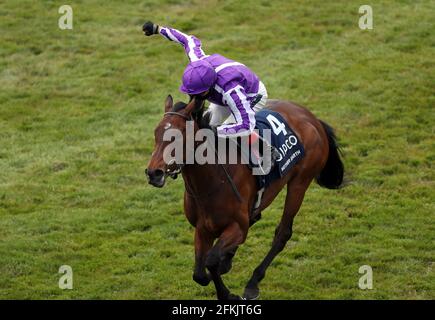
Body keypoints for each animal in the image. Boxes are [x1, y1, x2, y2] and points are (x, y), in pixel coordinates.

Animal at [146, 95, 344, 300]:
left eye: (178, 136)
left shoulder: (238, 228)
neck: (212, 181)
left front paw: (227, 294)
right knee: (255, 218)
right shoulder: (202, 228)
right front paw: (220, 271)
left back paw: (252, 283)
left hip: (299, 183)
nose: (153, 173)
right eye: (156, 133)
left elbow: (211, 261)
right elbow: (199, 274)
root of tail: (312, 117)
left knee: (282, 233)